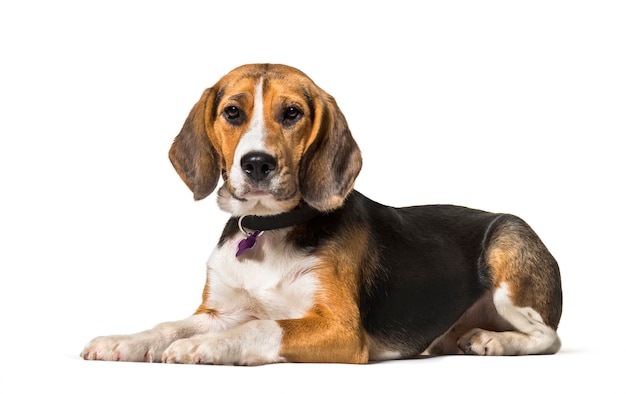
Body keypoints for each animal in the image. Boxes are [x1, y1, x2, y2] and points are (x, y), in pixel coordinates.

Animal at [79, 63, 560, 364]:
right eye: (232, 112)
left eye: (292, 113)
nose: (257, 164)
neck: (267, 228)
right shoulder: (219, 311)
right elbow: (169, 325)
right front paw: (123, 341)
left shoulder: (340, 328)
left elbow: (265, 327)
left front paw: (207, 348)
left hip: (507, 248)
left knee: (548, 337)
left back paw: (491, 341)